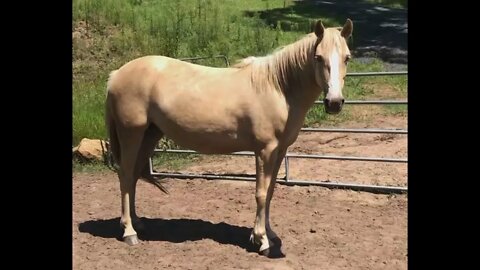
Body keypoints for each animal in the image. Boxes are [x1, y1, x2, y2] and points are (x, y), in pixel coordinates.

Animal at [105, 19, 352, 258]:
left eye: (347, 57)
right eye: (318, 57)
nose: (334, 102)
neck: (278, 88)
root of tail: (116, 74)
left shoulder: (279, 151)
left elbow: (271, 192)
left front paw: (269, 233)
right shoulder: (265, 151)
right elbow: (261, 193)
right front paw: (261, 240)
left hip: (149, 135)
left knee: (133, 176)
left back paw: (137, 222)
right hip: (131, 133)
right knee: (125, 176)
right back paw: (129, 232)